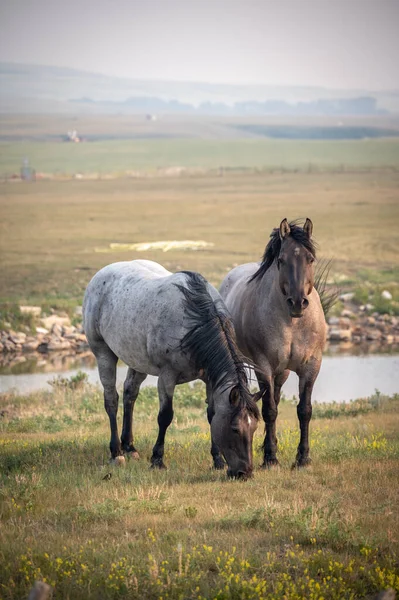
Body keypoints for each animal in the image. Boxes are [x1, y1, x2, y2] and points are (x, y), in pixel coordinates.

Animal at [83, 258, 260, 478]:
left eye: (254, 428)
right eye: (235, 428)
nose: (245, 473)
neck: (193, 322)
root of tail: (100, 275)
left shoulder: (210, 379)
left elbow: (211, 414)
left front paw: (217, 460)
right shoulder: (167, 376)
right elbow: (165, 416)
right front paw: (157, 460)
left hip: (137, 361)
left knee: (129, 394)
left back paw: (129, 447)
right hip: (103, 354)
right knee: (111, 400)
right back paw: (116, 453)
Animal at [222, 219, 328, 468]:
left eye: (310, 259)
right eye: (281, 260)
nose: (298, 302)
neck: (293, 323)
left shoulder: (312, 366)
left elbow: (304, 410)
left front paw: (303, 458)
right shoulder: (264, 365)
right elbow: (269, 410)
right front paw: (270, 458)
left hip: (283, 371)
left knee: (278, 398)